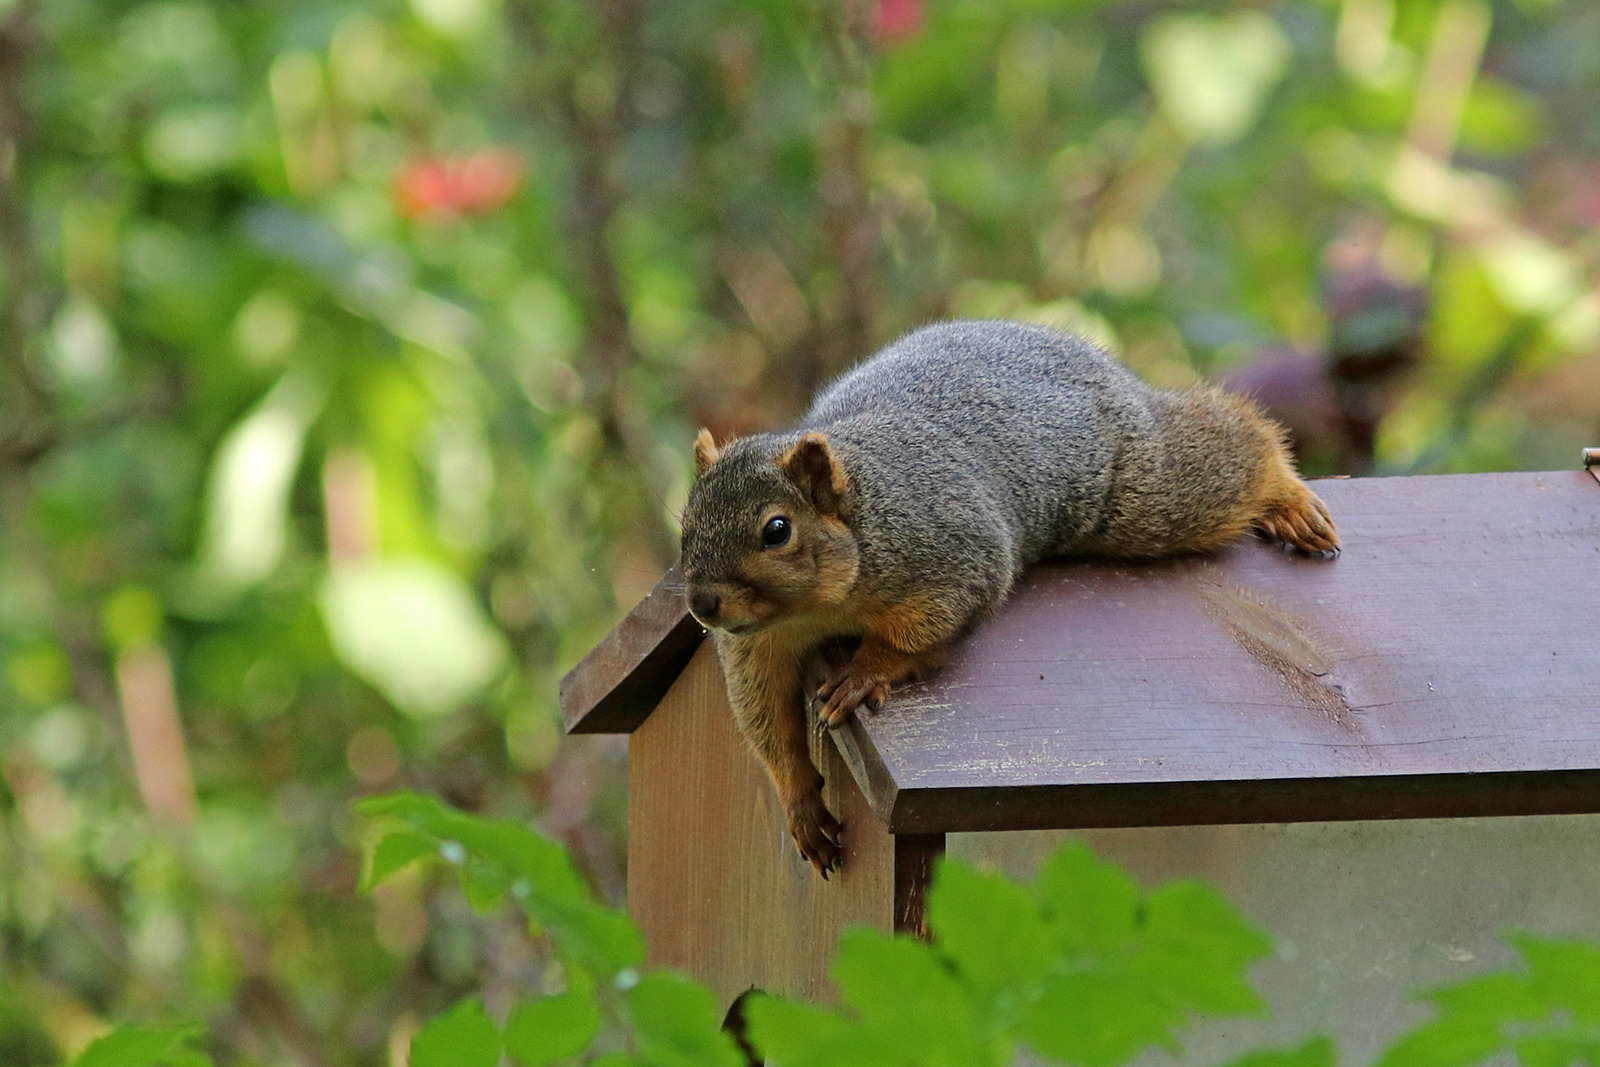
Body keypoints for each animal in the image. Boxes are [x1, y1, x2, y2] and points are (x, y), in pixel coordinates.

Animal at [679, 320, 1339, 876]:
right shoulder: (755, 647)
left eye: (777, 530)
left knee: (1231, 449)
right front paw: (800, 803)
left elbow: (925, 629)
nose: (702, 604)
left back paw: (1289, 500)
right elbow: (765, 716)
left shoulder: (952, 553)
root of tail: (1080, 349)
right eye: (686, 520)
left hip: (1146, 491)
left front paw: (865, 672)